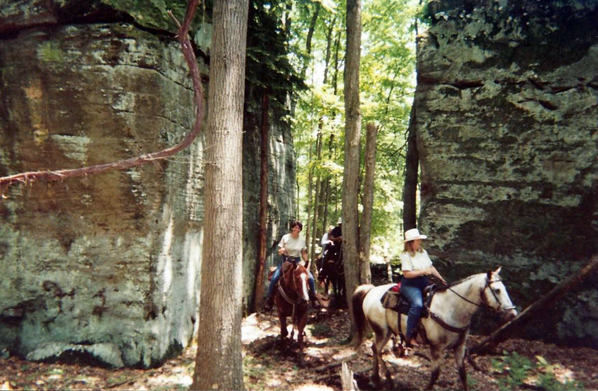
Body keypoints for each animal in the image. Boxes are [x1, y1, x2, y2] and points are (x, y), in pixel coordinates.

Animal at [354, 268, 516, 390]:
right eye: (497, 290)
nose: (512, 313)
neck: (451, 308)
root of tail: (372, 290)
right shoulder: (436, 348)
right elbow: (434, 375)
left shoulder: (460, 346)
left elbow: (463, 374)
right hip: (383, 331)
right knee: (376, 349)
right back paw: (387, 378)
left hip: (384, 332)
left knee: (375, 348)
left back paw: (376, 379)